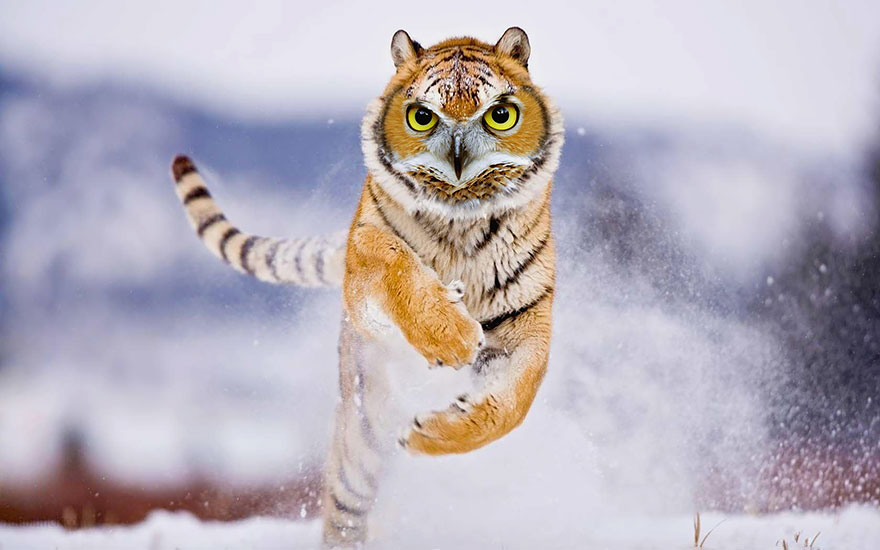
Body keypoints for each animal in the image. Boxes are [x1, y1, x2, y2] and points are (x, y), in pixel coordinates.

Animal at [169, 27, 563, 548]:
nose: (459, 159)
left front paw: (430, 434)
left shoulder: (527, 321)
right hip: (363, 434)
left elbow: (513, 404)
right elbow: (395, 260)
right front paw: (452, 335)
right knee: (345, 506)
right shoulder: (364, 261)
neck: (460, 219)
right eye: (422, 117)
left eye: (500, 115)